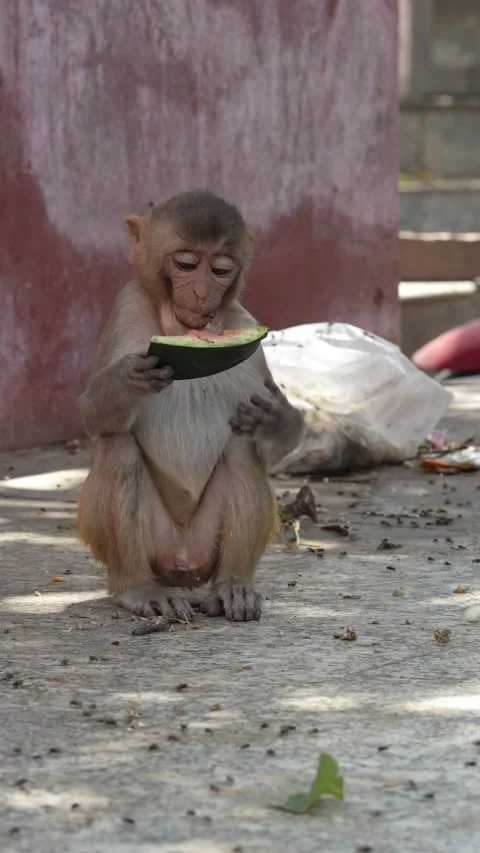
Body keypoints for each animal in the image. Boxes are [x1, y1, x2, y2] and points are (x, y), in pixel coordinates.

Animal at [77, 189, 305, 622]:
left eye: (219, 269)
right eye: (186, 264)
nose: (201, 292)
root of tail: (182, 562)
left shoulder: (246, 330)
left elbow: (266, 445)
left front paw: (278, 422)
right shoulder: (126, 312)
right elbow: (91, 417)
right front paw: (130, 380)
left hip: (205, 547)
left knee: (242, 452)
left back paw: (233, 585)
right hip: (152, 544)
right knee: (118, 447)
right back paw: (137, 588)